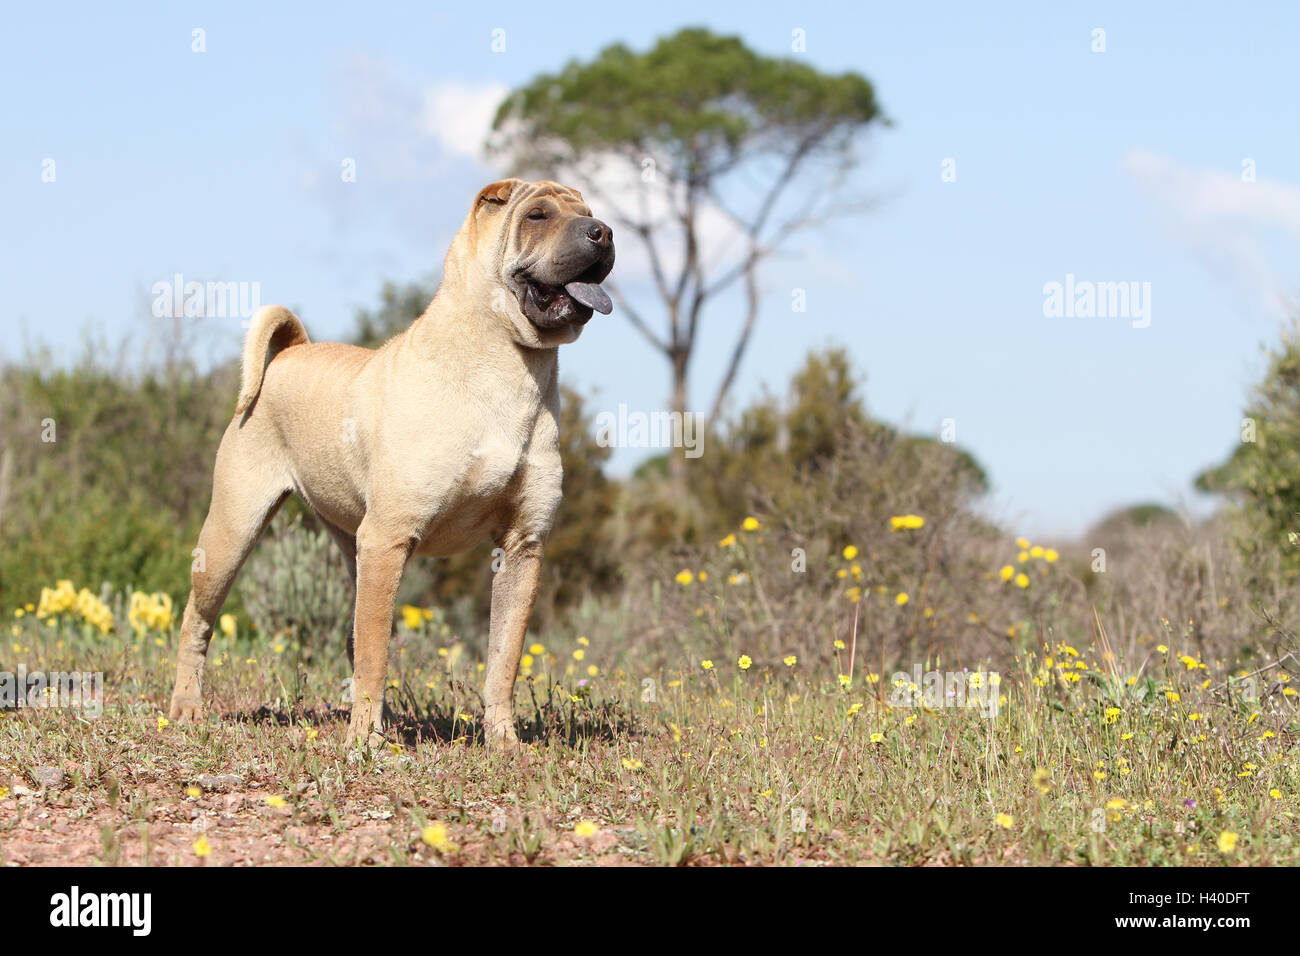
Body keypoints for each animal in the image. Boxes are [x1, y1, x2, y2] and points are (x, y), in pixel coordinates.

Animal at [166, 178, 613, 749]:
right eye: (537, 215)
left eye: (589, 211)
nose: (602, 232)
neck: (509, 365)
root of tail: (290, 353)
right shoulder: (389, 536)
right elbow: (378, 653)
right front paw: (365, 743)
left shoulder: (522, 545)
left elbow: (503, 658)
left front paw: (503, 741)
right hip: (233, 531)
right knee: (197, 622)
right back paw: (186, 709)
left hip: (351, 545)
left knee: (355, 639)